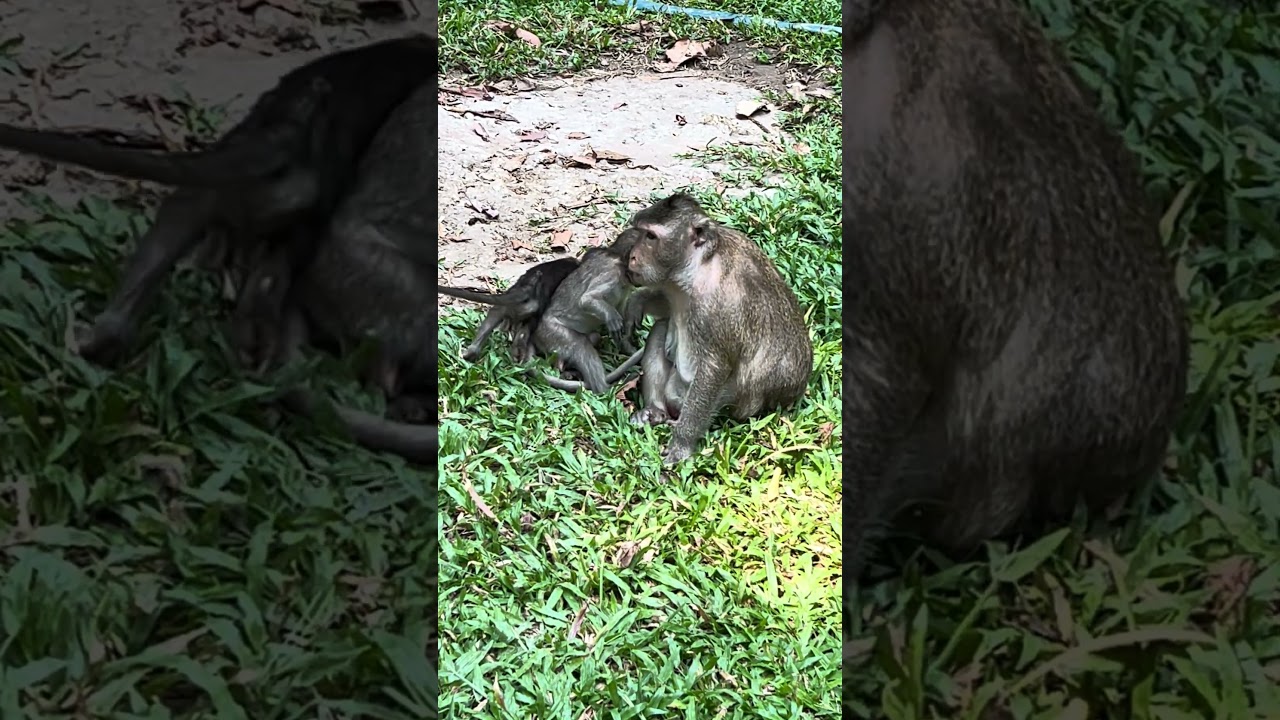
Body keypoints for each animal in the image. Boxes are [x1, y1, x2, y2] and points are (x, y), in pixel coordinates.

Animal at [0, 34, 436, 366]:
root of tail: (287, 126)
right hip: (304, 207)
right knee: (273, 275)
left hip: (215, 196)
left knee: (175, 224)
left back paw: (101, 338)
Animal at [438, 257, 580, 363]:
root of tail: (525, 288)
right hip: (532, 312)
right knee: (525, 332)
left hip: (503, 308)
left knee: (492, 318)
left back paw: (469, 353)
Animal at [531, 229, 643, 394]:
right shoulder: (612, 274)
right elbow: (586, 300)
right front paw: (611, 317)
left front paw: (628, 346)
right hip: (550, 331)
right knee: (581, 347)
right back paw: (607, 389)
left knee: (594, 338)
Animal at [622, 193, 814, 465]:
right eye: (639, 232)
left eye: (650, 236)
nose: (632, 256)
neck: (697, 266)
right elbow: (666, 307)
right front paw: (637, 302)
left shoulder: (721, 306)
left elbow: (714, 369)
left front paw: (682, 444)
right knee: (661, 329)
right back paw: (656, 411)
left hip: (731, 404)